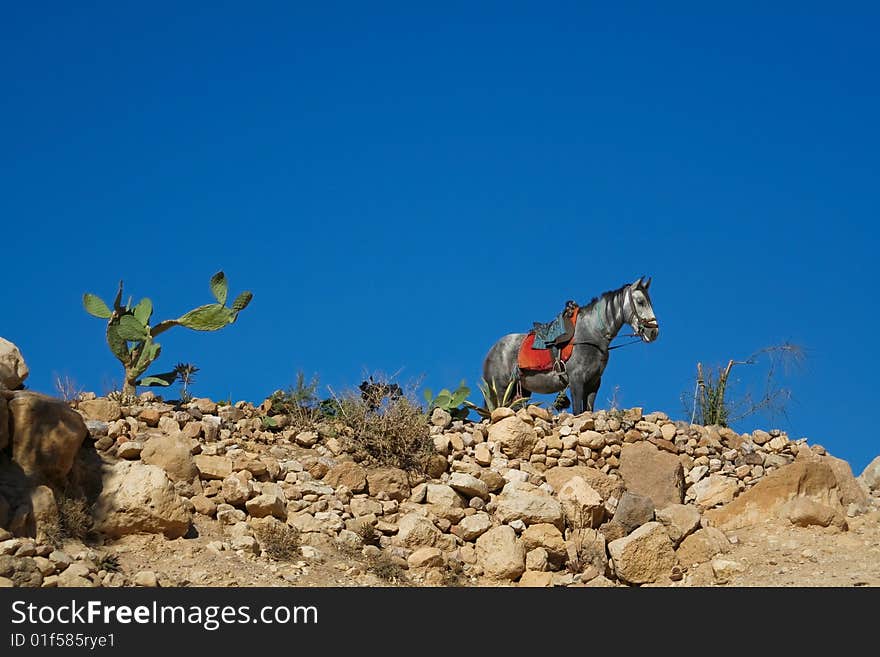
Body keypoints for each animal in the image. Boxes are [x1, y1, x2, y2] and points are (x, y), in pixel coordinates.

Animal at [482, 278, 660, 416]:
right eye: (640, 302)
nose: (653, 332)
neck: (591, 333)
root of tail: (492, 351)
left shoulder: (593, 383)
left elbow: (588, 411)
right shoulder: (576, 381)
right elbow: (577, 412)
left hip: (520, 390)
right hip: (500, 390)